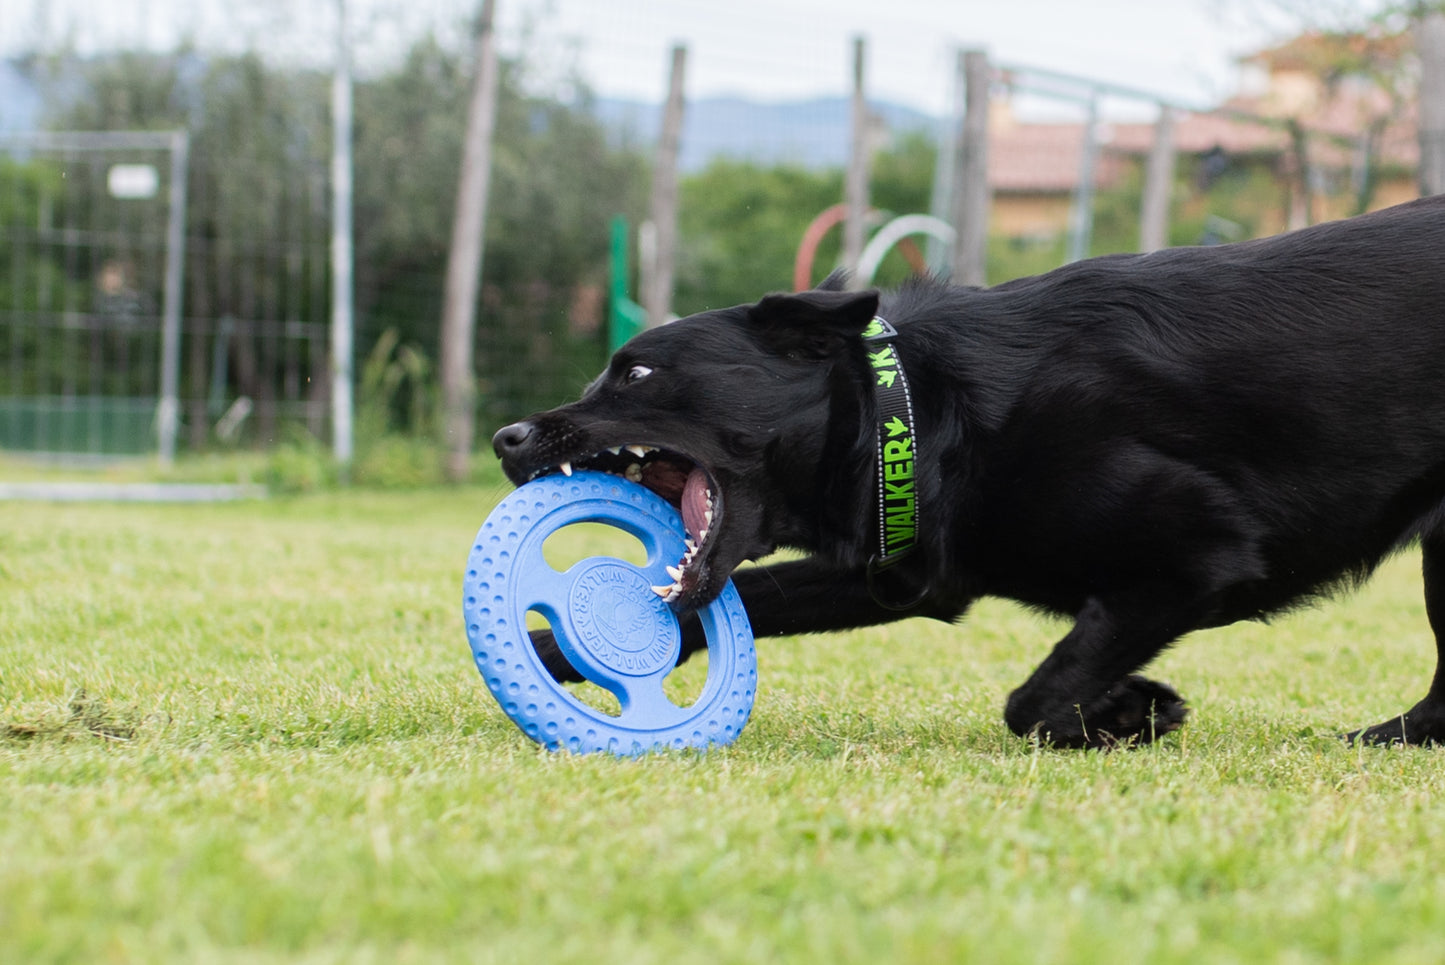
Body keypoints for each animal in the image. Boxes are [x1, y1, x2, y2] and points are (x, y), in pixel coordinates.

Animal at [494, 196, 1445, 751]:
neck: (916, 412)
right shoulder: (900, 571)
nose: (507, 437)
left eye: (636, 372)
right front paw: (537, 653)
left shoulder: (1196, 553)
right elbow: (717, 608)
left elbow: (1032, 698)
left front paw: (1121, 714)